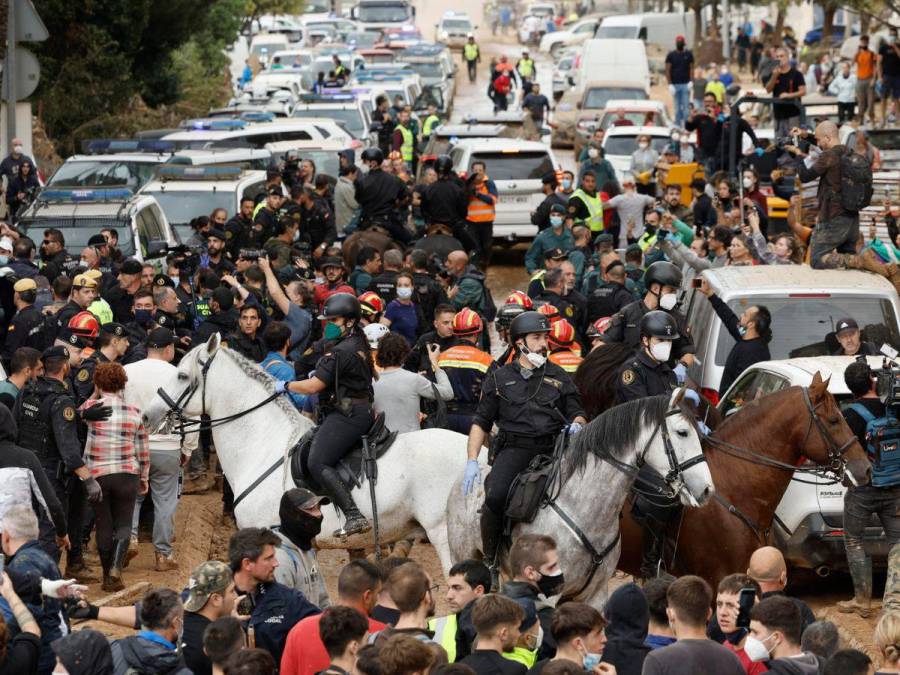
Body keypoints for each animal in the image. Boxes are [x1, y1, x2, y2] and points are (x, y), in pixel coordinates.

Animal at [446, 388, 712, 608]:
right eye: (682, 432)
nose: (708, 489)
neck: (585, 509)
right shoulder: (548, 596)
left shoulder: (596, 595)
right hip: (464, 557)